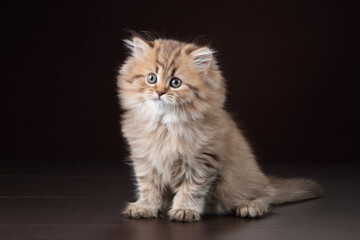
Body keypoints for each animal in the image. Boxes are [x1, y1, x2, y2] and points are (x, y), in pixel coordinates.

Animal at [116, 34, 322, 222]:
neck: (165, 125)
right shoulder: (144, 160)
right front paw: (145, 207)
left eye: (175, 82)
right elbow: (148, 187)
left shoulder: (202, 161)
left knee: (266, 196)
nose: (159, 92)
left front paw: (184, 210)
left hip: (239, 186)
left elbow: (191, 189)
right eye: (151, 78)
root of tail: (264, 180)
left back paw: (250, 206)